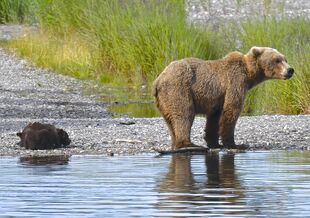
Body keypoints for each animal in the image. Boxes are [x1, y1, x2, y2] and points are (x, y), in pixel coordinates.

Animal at [154, 46, 294, 150]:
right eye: (277, 60)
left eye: (285, 59)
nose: (290, 70)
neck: (249, 74)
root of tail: (158, 80)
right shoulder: (235, 82)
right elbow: (231, 111)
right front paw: (235, 144)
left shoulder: (217, 98)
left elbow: (214, 118)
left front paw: (214, 143)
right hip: (178, 89)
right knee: (183, 113)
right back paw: (189, 145)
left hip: (163, 99)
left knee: (170, 120)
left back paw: (175, 144)